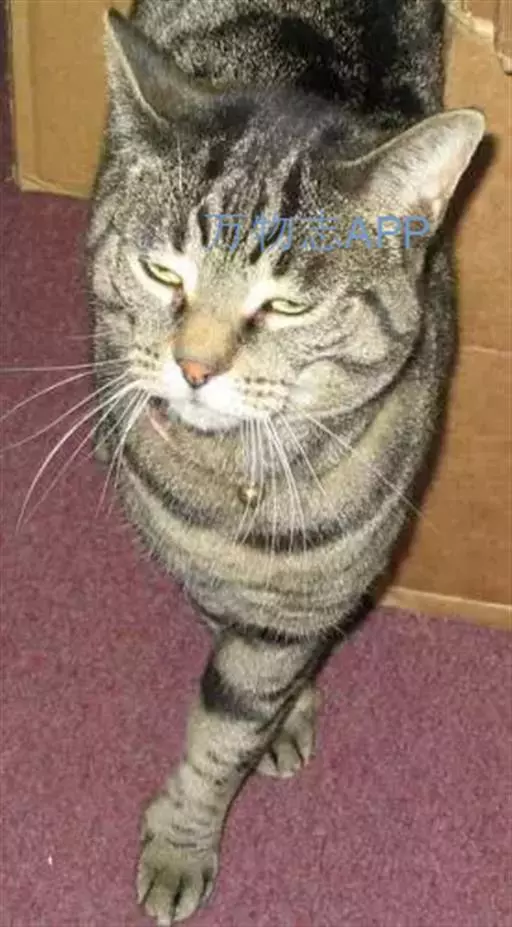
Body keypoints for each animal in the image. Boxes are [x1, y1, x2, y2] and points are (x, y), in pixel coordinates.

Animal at [87, 1, 485, 922]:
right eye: (163, 272)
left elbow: (228, 723)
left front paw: (186, 833)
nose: (194, 366)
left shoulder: (301, 598)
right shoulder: (200, 565)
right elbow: (231, 670)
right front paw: (283, 716)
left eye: (289, 306)